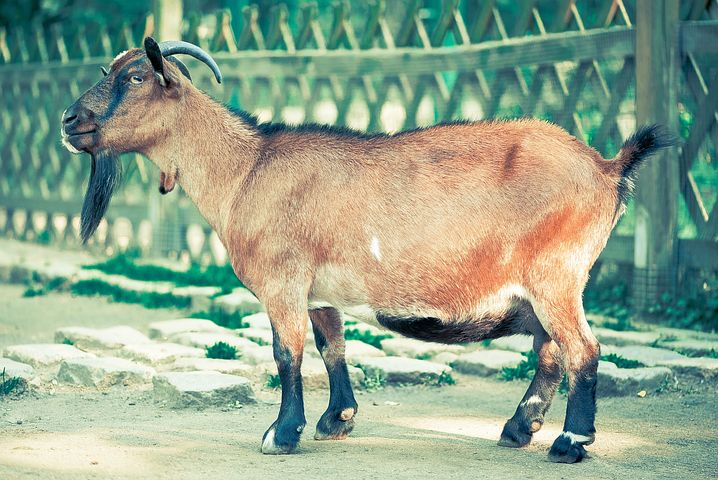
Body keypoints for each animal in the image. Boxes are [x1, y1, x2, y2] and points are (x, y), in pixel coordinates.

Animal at [61, 37, 674, 463]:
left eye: (135, 75)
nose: (70, 120)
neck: (246, 169)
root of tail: (607, 168)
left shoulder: (282, 281)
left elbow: (287, 353)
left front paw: (281, 434)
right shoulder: (319, 290)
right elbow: (332, 347)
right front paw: (337, 420)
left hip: (557, 275)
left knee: (583, 351)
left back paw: (570, 442)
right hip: (547, 285)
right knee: (550, 352)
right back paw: (517, 430)